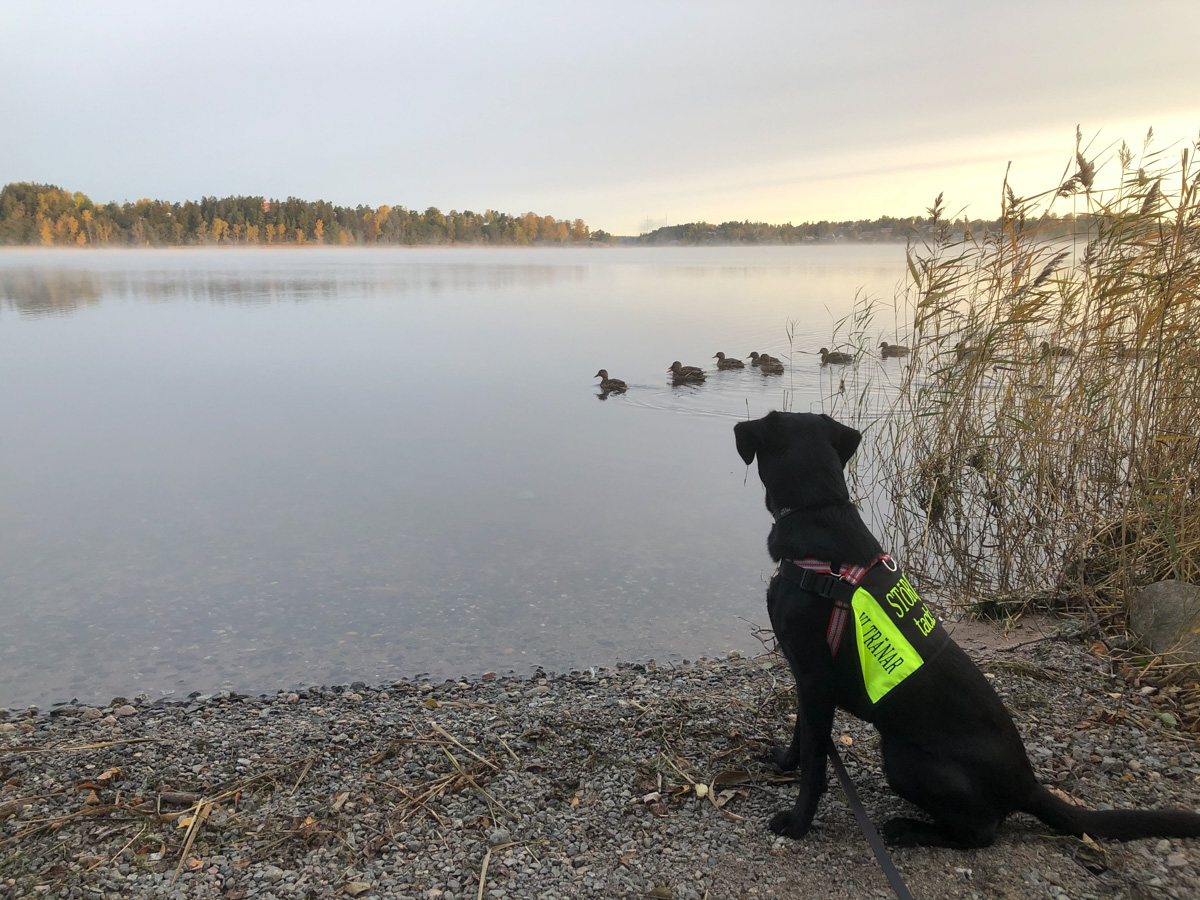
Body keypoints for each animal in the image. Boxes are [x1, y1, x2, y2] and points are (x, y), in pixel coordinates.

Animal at [729, 412, 1200, 849]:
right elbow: (804, 737)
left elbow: (815, 760)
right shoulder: (805, 678)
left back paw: (910, 829)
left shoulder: (814, 677)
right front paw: (784, 762)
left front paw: (797, 822)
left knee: (981, 832)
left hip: (903, 759)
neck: (818, 511)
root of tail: (1026, 784)